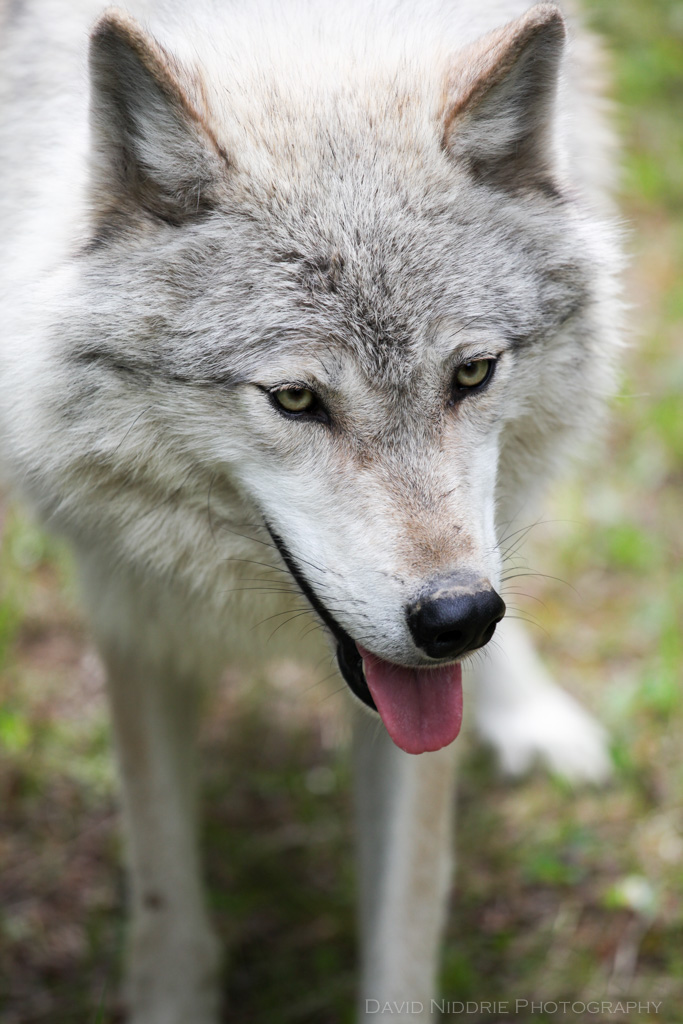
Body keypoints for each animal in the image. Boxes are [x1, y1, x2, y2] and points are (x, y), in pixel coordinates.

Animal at [0, 0, 621, 1020]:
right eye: (295, 399)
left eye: (471, 374)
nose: (457, 618)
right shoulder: (133, 610)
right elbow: (168, 908)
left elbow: (403, 932)